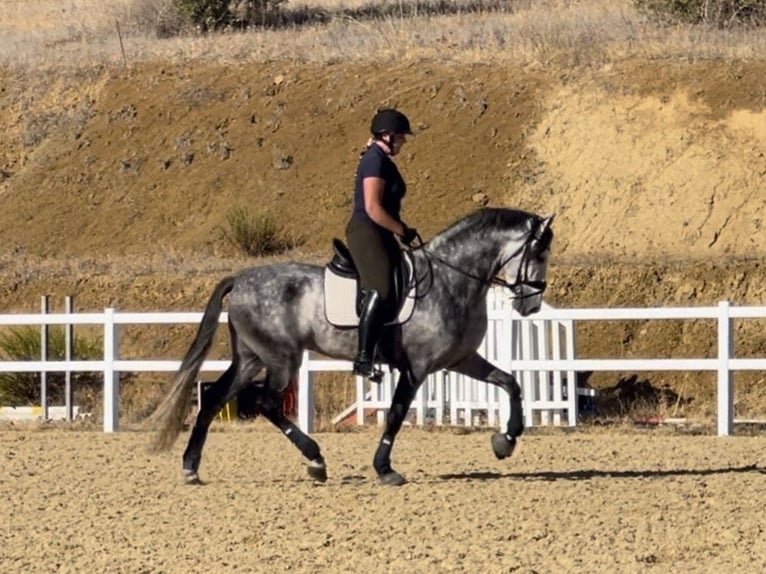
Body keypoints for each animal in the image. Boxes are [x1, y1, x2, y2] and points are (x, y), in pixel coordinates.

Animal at [150, 207, 556, 486]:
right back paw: (315, 460)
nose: (531, 306)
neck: (450, 278)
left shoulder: (462, 360)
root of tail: (241, 278)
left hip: (252, 358)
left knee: (214, 398)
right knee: (266, 403)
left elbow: (511, 383)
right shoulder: (416, 368)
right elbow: (395, 414)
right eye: (539, 253)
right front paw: (385, 469)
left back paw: (190, 467)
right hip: (281, 359)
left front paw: (505, 440)